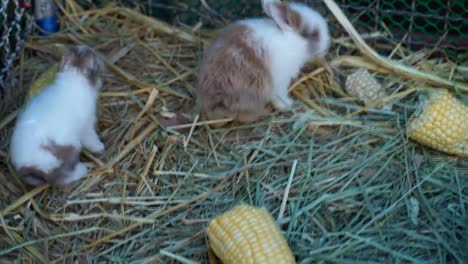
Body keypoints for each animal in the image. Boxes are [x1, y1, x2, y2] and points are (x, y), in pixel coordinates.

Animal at [10, 44, 106, 186]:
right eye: (96, 61)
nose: (85, 46)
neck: (74, 76)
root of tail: (30, 166)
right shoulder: (86, 126)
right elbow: (91, 139)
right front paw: (100, 147)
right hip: (69, 150)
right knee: (61, 178)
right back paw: (82, 170)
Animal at [197, 0, 330, 124]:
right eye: (314, 34)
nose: (326, 46)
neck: (291, 40)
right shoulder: (281, 82)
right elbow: (279, 96)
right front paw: (287, 104)